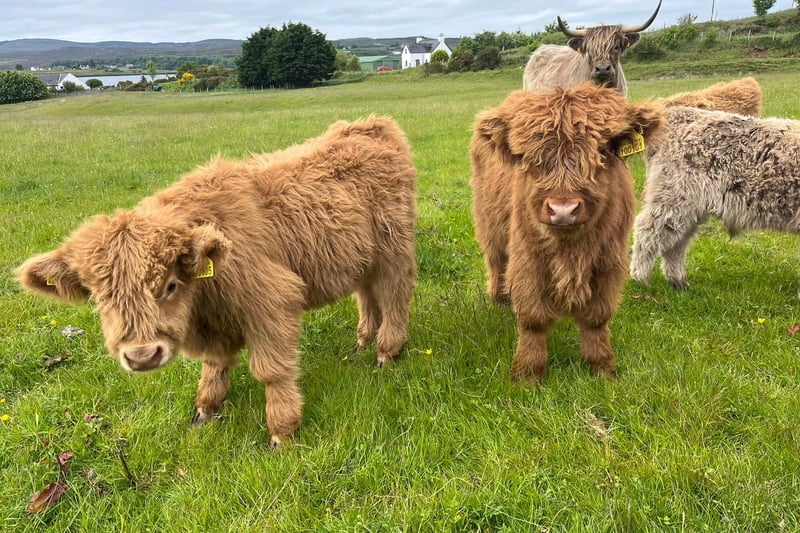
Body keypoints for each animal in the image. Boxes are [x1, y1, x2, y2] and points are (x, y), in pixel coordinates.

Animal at [15, 116, 418, 448]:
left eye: (170, 286)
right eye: (100, 298)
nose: (142, 356)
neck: (203, 301)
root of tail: (372, 125)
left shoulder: (272, 303)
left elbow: (271, 372)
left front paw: (282, 433)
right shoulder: (216, 325)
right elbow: (214, 369)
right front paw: (204, 413)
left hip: (394, 250)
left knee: (394, 295)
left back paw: (386, 352)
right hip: (361, 258)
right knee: (367, 295)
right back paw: (363, 342)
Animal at [472, 84, 664, 382]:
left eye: (603, 151)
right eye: (527, 157)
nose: (563, 210)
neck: (571, 250)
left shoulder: (608, 261)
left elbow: (597, 318)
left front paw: (602, 368)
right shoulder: (527, 259)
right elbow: (533, 320)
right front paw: (528, 375)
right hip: (489, 226)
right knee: (495, 261)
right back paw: (500, 299)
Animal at [632, 106, 800, 288]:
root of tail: (680, 113)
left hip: (689, 207)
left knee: (677, 242)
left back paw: (678, 282)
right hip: (674, 197)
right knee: (647, 231)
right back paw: (641, 279)